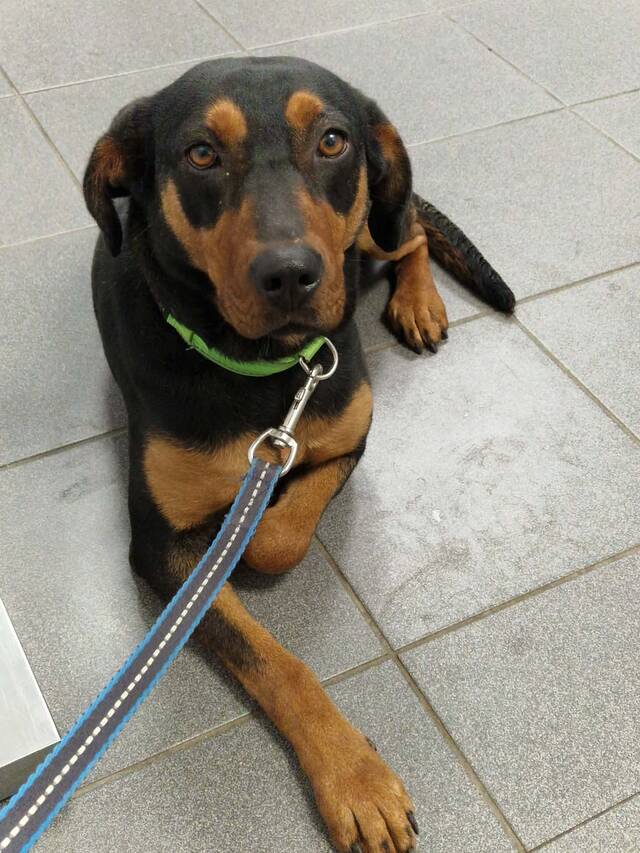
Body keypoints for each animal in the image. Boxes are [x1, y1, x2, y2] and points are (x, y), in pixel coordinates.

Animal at [83, 56, 514, 853]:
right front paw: (355, 778)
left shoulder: (350, 433)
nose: (289, 274)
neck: (264, 367)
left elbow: (279, 534)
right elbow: (276, 662)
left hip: (376, 221)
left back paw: (418, 301)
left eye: (333, 140)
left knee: (409, 233)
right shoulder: (161, 546)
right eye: (200, 153)